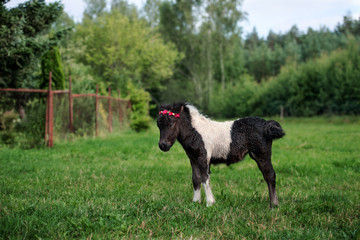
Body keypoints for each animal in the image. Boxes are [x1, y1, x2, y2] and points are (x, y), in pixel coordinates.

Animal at [156, 102, 286, 208]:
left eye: (171, 124)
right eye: (158, 125)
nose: (163, 145)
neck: (196, 133)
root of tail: (266, 125)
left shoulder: (203, 157)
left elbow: (204, 178)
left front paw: (210, 203)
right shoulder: (193, 158)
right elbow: (196, 178)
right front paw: (196, 202)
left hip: (261, 154)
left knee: (270, 175)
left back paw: (273, 205)